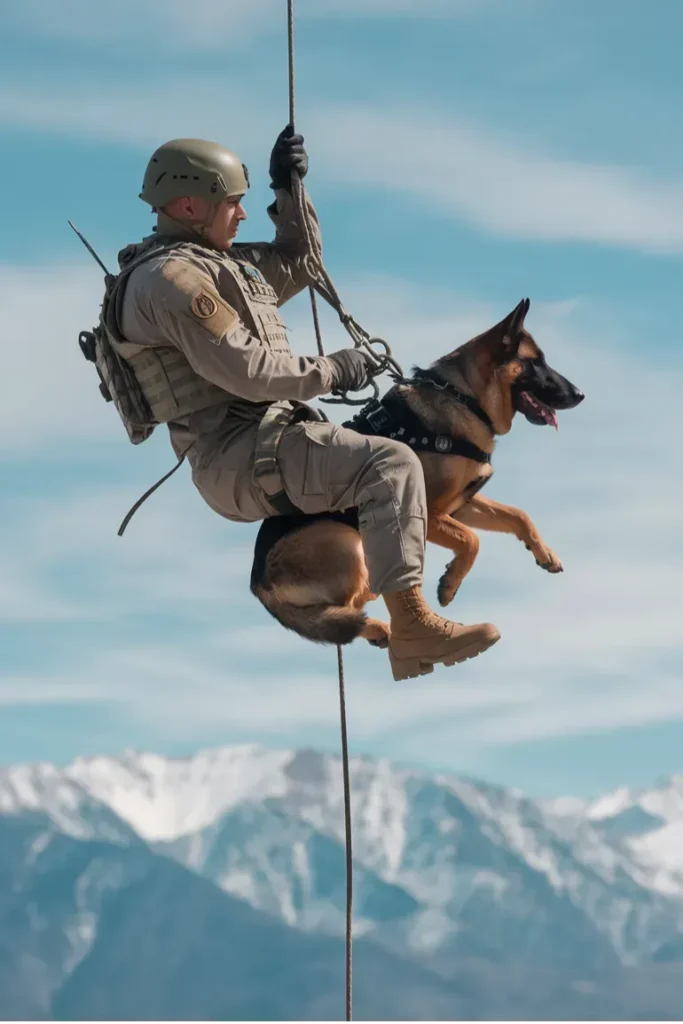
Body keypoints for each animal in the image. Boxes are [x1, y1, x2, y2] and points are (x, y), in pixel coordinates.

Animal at [248, 299, 585, 647]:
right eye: (534, 363)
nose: (579, 394)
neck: (463, 397)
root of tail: (258, 583)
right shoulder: (432, 516)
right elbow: (472, 540)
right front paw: (450, 583)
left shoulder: (461, 506)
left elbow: (518, 515)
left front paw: (544, 553)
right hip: (349, 543)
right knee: (350, 608)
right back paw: (385, 626)